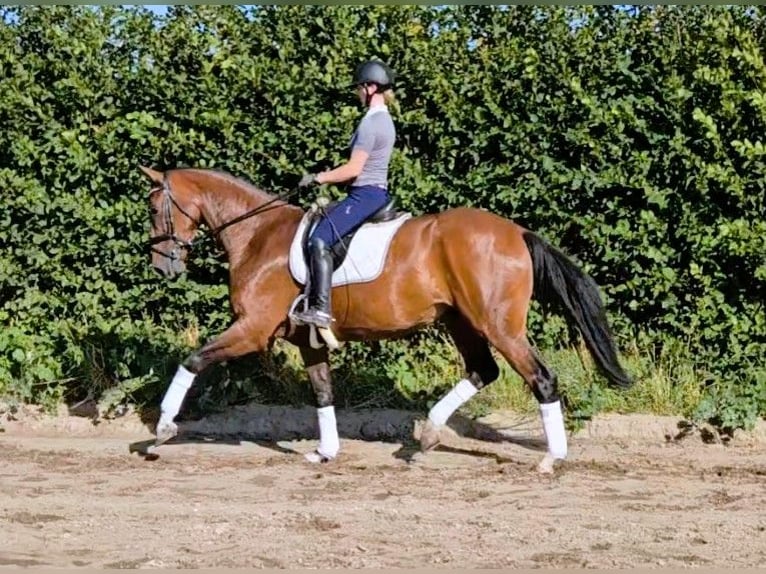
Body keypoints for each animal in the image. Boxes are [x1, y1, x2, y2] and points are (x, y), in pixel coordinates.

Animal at [141, 165, 632, 472]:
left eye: (152, 206)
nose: (162, 266)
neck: (257, 235)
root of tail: (517, 232)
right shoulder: (305, 340)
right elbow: (323, 393)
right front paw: (325, 452)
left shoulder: (253, 330)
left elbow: (192, 360)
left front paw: (162, 430)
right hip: (461, 321)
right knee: (482, 370)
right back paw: (429, 432)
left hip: (499, 326)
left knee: (541, 378)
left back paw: (551, 459)